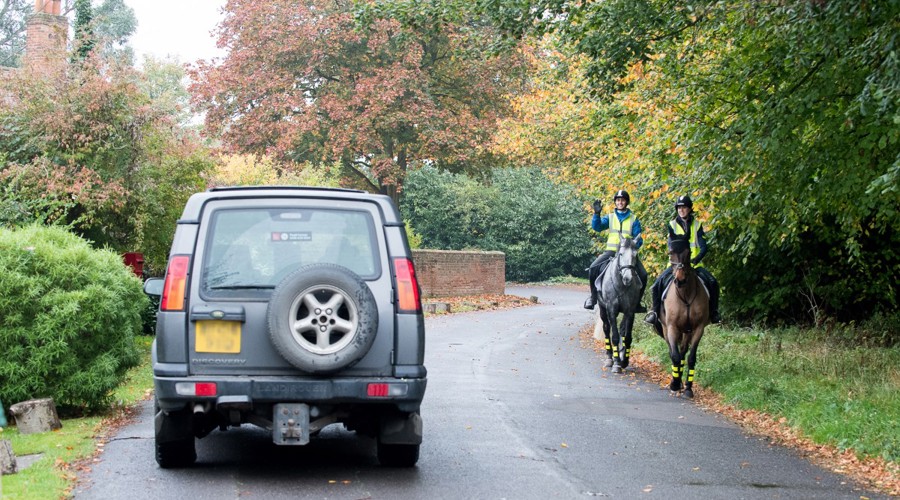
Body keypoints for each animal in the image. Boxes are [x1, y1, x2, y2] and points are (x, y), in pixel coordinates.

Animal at [596, 237, 644, 372]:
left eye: (635, 255)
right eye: (621, 254)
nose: (628, 278)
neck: (622, 285)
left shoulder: (630, 311)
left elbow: (626, 336)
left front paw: (624, 361)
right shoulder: (611, 310)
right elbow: (615, 336)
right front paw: (617, 363)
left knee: (622, 330)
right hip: (603, 309)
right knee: (607, 329)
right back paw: (609, 359)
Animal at [660, 239, 712, 398]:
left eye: (688, 252)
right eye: (670, 252)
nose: (680, 280)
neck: (686, 295)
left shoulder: (698, 328)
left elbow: (690, 357)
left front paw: (688, 388)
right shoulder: (672, 327)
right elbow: (675, 356)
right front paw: (675, 384)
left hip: (687, 331)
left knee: (683, 350)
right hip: (666, 329)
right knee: (673, 352)